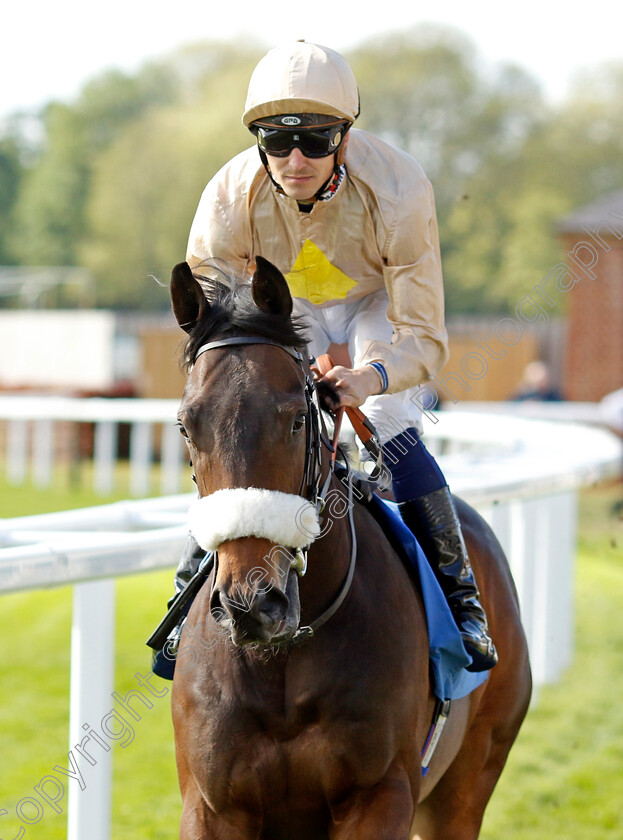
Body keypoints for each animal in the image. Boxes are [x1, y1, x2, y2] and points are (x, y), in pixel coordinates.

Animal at [167, 258, 532, 840]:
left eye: (297, 419)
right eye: (186, 426)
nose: (253, 605)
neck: (283, 655)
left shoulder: (380, 796)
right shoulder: (211, 806)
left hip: (468, 780)